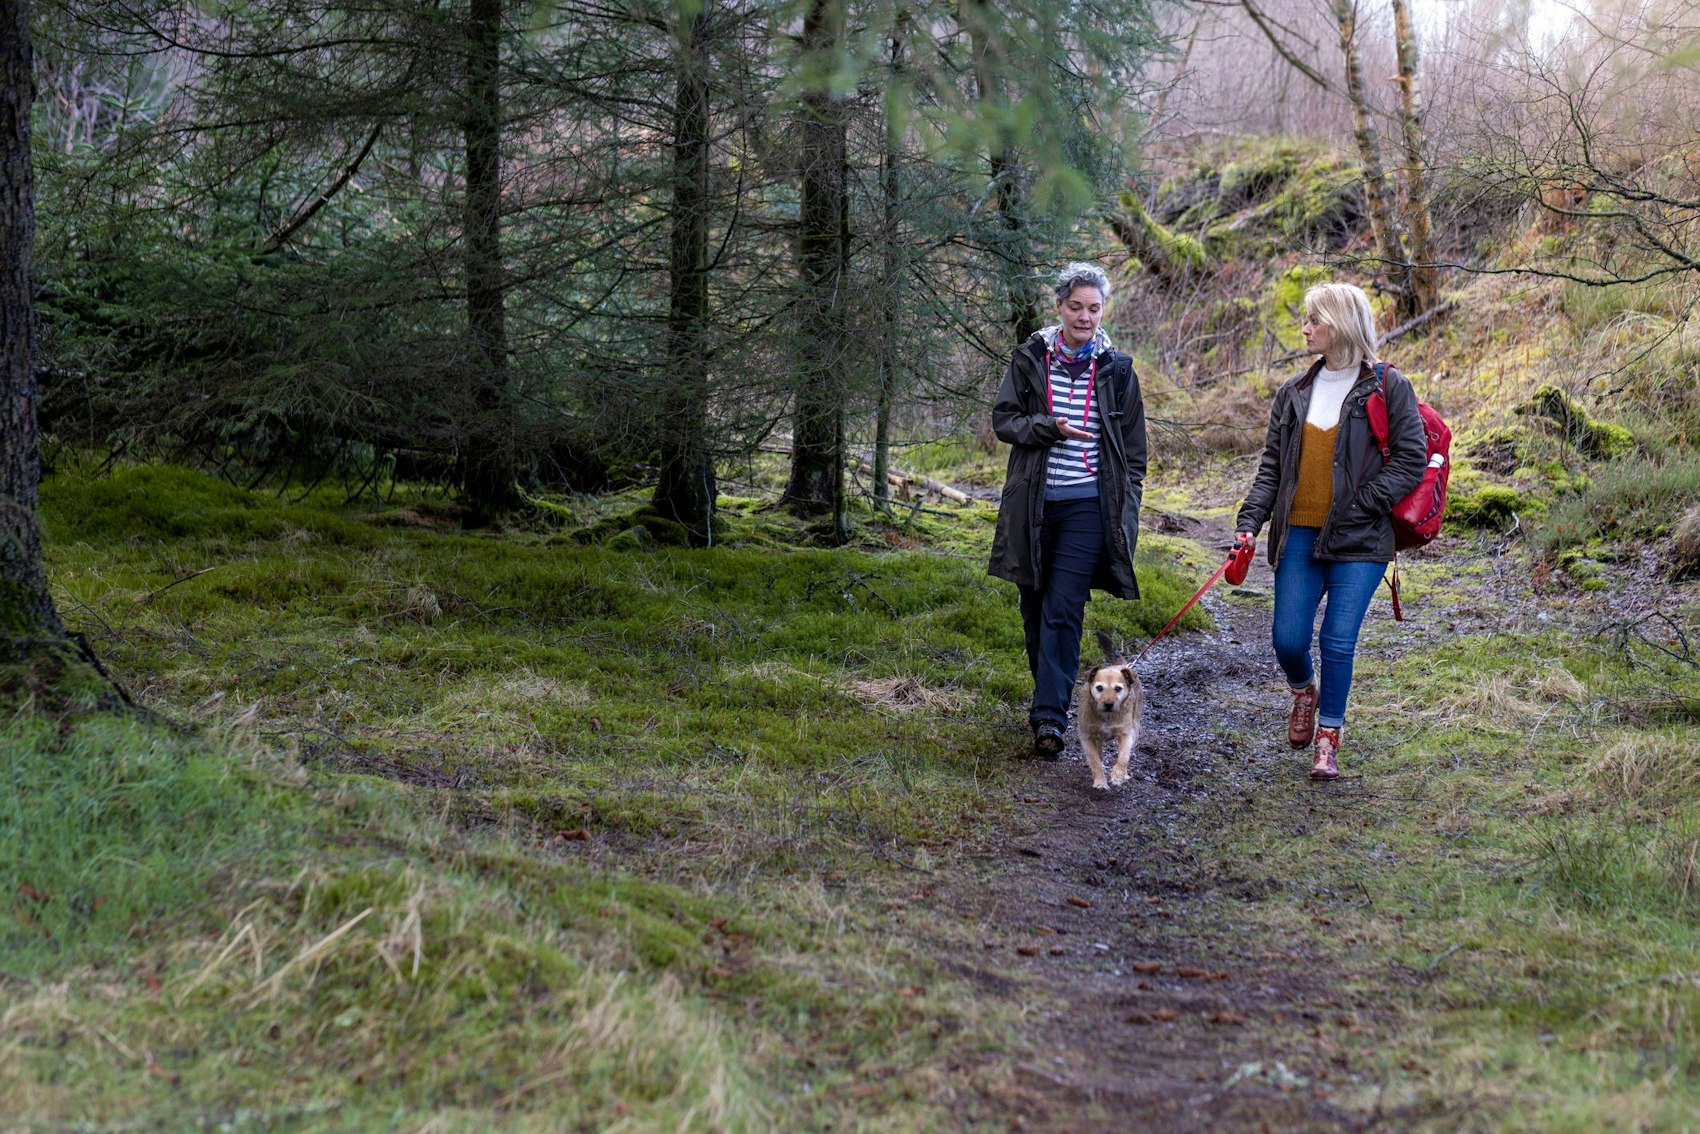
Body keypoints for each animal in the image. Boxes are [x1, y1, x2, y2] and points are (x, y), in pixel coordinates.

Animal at [1081, 635, 1149, 795]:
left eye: (1118, 689)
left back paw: (1124, 774)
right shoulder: (1087, 737)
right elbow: (1095, 761)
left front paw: (1118, 775)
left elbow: (1123, 756)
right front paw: (1100, 782)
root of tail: (1123, 666)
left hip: (1135, 726)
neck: (1107, 717)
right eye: (1099, 688)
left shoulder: (1126, 733)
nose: (1109, 704)